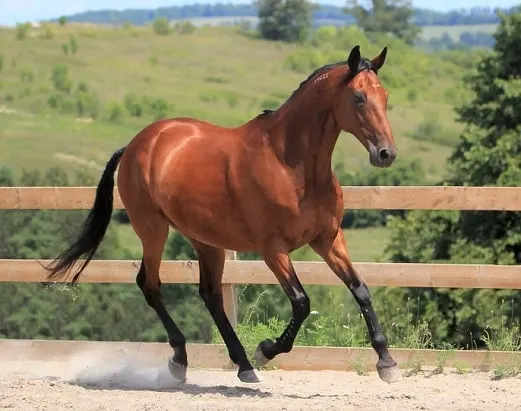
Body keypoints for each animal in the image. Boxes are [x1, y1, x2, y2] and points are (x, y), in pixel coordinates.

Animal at [45, 45, 402, 386]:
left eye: (385, 96)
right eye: (358, 97)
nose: (386, 153)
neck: (291, 165)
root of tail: (135, 145)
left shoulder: (327, 240)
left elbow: (360, 289)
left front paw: (387, 363)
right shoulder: (273, 249)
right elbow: (302, 303)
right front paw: (266, 350)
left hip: (206, 240)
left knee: (210, 295)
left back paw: (242, 365)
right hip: (153, 229)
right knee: (150, 284)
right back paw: (182, 361)